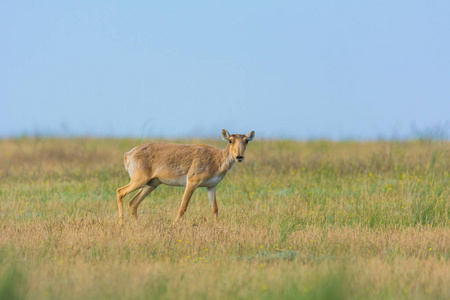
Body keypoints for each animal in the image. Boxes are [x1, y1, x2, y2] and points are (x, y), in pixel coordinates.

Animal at [118, 129, 255, 225]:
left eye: (246, 140)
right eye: (230, 140)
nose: (239, 157)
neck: (217, 158)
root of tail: (128, 154)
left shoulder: (211, 187)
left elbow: (215, 209)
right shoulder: (192, 183)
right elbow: (182, 207)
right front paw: (173, 226)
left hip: (152, 184)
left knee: (133, 203)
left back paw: (138, 225)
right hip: (139, 181)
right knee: (120, 192)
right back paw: (122, 224)